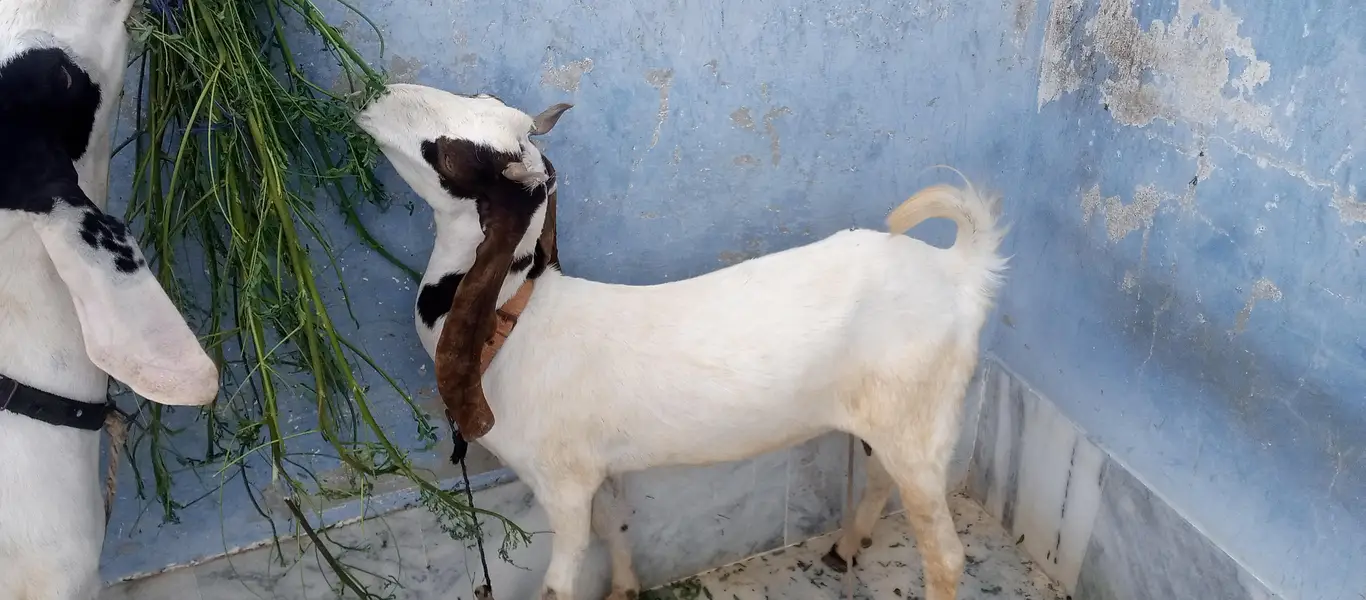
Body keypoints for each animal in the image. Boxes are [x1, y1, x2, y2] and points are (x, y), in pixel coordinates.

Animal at [357, 83, 1007, 600]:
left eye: (447, 154)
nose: (374, 96)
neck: (513, 323)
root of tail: (959, 272)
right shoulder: (595, 467)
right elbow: (615, 526)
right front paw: (624, 588)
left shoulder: (560, 482)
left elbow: (560, 582)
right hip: (891, 415)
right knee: (879, 476)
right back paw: (847, 545)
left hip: (921, 420)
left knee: (946, 555)